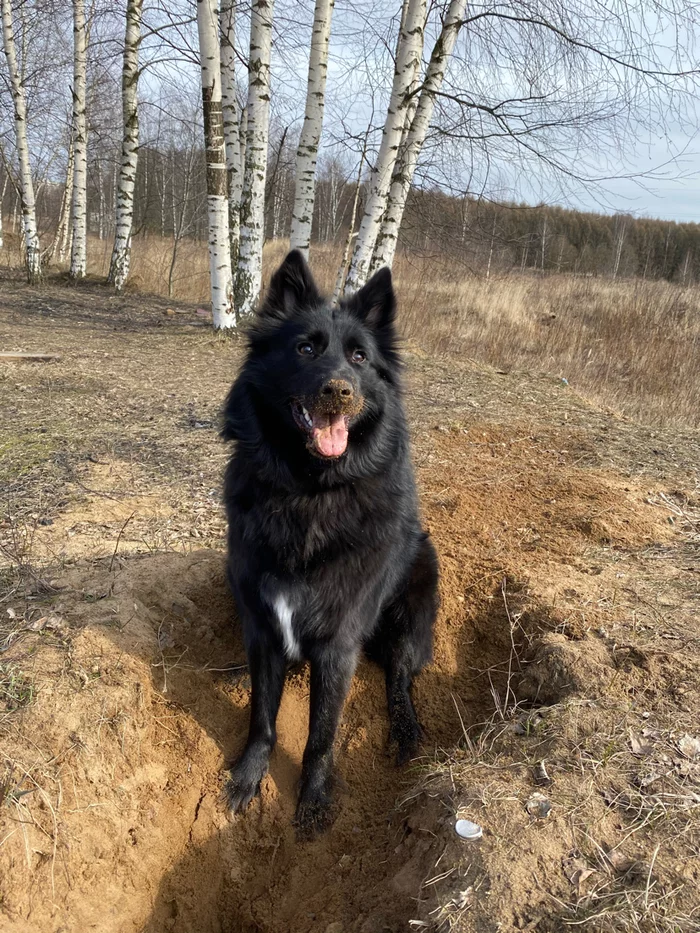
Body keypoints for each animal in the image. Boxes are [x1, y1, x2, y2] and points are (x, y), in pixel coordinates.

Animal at [221, 249, 438, 836]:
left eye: (360, 357)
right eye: (305, 348)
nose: (340, 391)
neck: (309, 493)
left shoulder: (338, 644)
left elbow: (321, 736)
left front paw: (314, 801)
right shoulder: (262, 628)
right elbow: (262, 718)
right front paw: (249, 775)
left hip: (411, 612)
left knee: (401, 679)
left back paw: (405, 731)